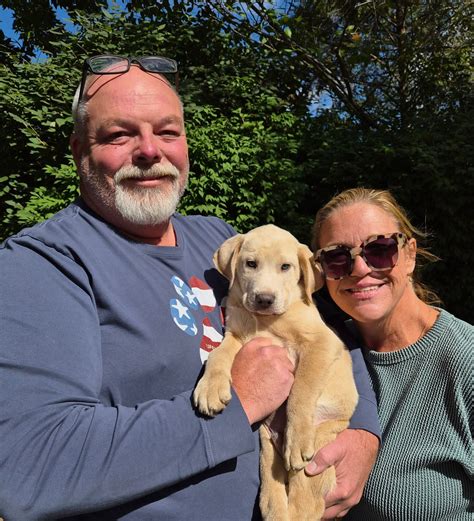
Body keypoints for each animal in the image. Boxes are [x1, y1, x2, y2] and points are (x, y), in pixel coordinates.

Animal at [193, 224, 358, 521]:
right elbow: (218, 355)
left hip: (317, 453)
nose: (264, 299)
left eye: (285, 267)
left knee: (305, 508)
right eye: (250, 264)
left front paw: (297, 438)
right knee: (273, 494)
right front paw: (210, 388)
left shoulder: (321, 343)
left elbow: (301, 390)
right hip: (267, 447)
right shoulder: (236, 335)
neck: (265, 322)